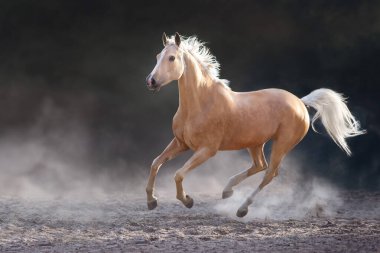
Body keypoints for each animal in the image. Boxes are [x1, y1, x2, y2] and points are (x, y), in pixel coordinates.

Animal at [144, 32, 364, 217]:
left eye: (172, 58)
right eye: (157, 56)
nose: (151, 81)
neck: (201, 104)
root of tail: (300, 102)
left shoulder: (207, 150)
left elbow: (178, 174)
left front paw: (187, 200)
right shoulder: (181, 143)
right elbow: (155, 162)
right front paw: (151, 201)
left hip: (282, 144)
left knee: (269, 173)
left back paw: (242, 209)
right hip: (255, 144)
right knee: (260, 165)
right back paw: (227, 191)